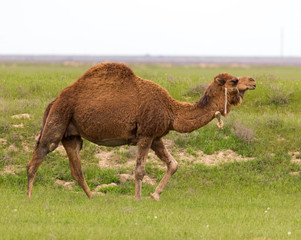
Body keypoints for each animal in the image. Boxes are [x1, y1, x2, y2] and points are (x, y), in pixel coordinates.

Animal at [26, 62, 255, 201]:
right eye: (234, 81)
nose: (253, 81)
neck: (171, 110)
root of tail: (55, 100)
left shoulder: (156, 137)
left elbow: (173, 164)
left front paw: (155, 195)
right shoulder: (145, 134)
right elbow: (139, 170)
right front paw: (138, 199)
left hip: (71, 133)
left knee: (76, 169)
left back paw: (92, 198)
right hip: (59, 119)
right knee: (39, 155)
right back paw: (28, 196)